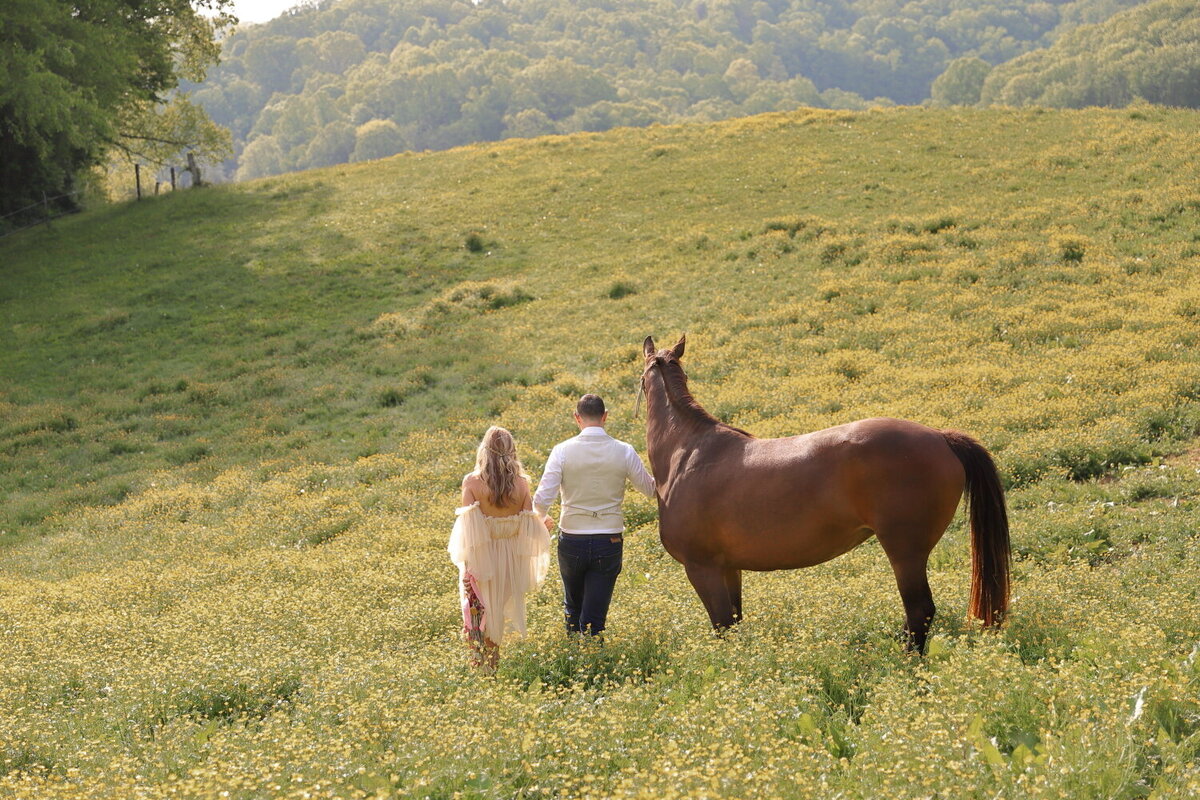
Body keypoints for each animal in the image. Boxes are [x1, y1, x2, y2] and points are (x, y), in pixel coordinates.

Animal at [643, 335, 1008, 652]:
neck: (688, 452)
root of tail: (941, 436)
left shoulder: (702, 568)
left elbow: (722, 625)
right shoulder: (728, 568)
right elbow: (734, 621)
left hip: (905, 552)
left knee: (920, 610)